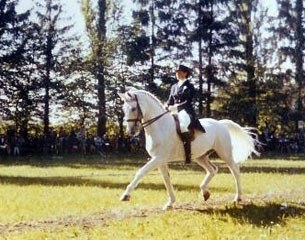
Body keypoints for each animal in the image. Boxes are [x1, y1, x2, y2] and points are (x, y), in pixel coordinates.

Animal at [117, 89, 258, 209]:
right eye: (124, 109)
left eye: (133, 108)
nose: (131, 131)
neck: (160, 126)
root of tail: (220, 123)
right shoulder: (160, 160)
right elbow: (166, 179)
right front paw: (170, 203)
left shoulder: (158, 158)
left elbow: (141, 172)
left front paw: (126, 195)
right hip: (200, 156)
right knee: (212, 170)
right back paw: (205, 193)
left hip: (224, 153)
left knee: (235, 170)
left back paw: (238, 197)